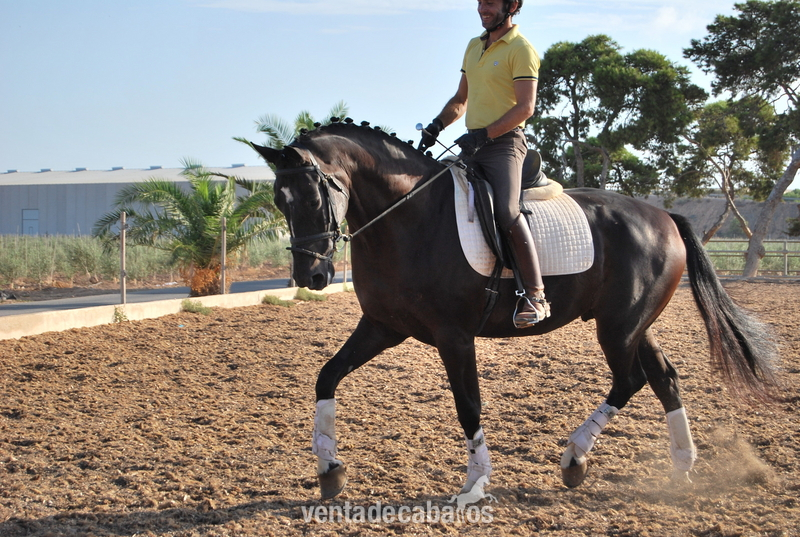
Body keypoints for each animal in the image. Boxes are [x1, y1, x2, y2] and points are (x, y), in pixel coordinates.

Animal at [250, 119, 778, 500]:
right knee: (664, 377)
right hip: (634, 324)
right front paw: (329, 468)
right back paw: (681, 469)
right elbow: (327, 376)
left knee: (630, 380)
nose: (310, 276)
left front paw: (476, 483)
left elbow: (468, 405)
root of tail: (663, 215)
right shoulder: (383, 326)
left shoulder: (454, 336)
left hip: (618, 327)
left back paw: (575, 459)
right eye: (278, 199)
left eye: (314, 195)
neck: (408, 218)